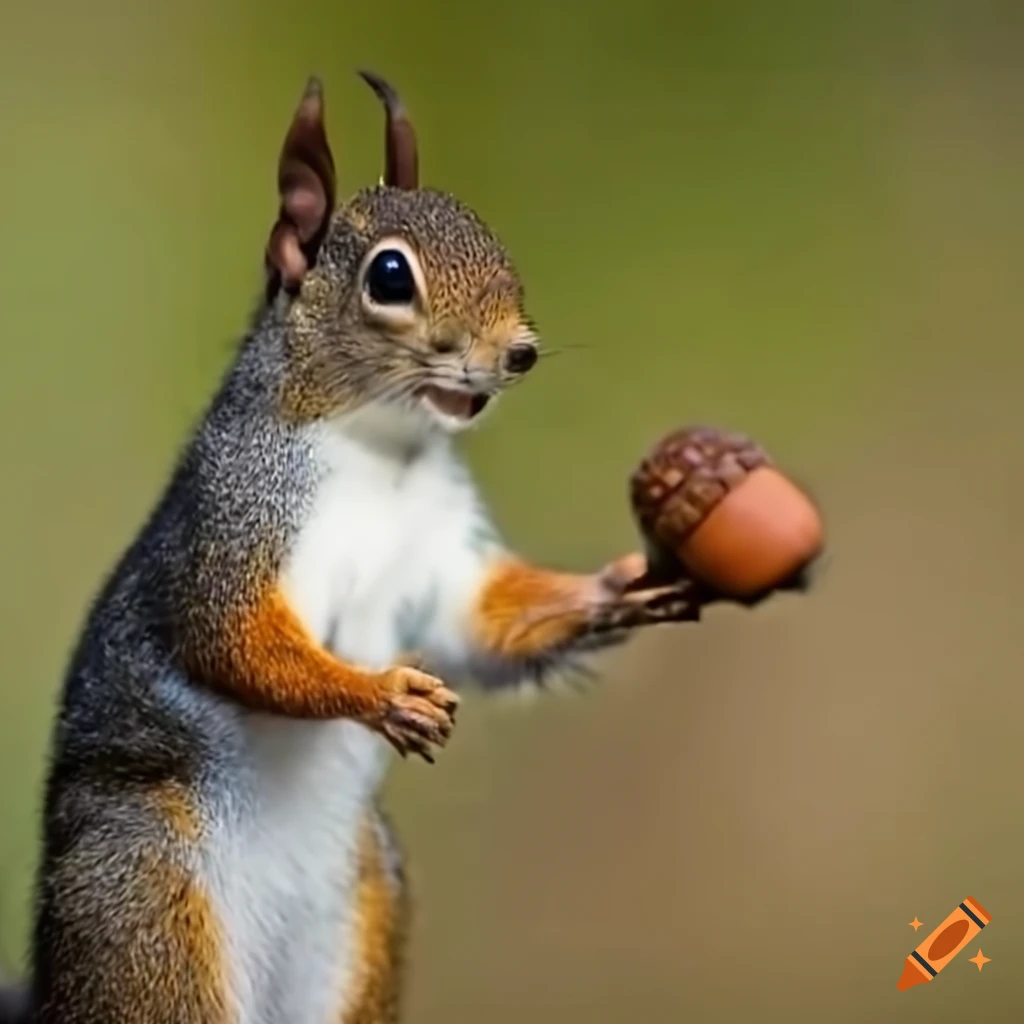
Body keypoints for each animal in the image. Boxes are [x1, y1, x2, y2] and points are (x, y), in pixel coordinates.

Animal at [0, 71, 708, 1024]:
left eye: (492, 233)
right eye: (390, 276)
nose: (518, 354)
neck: (383, 452)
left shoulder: (439, 558)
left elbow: (480, 626)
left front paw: (613, 591)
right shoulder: (242, 512)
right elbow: (233, 636)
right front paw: (380, 695)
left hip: (366, 912)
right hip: (150, 918)